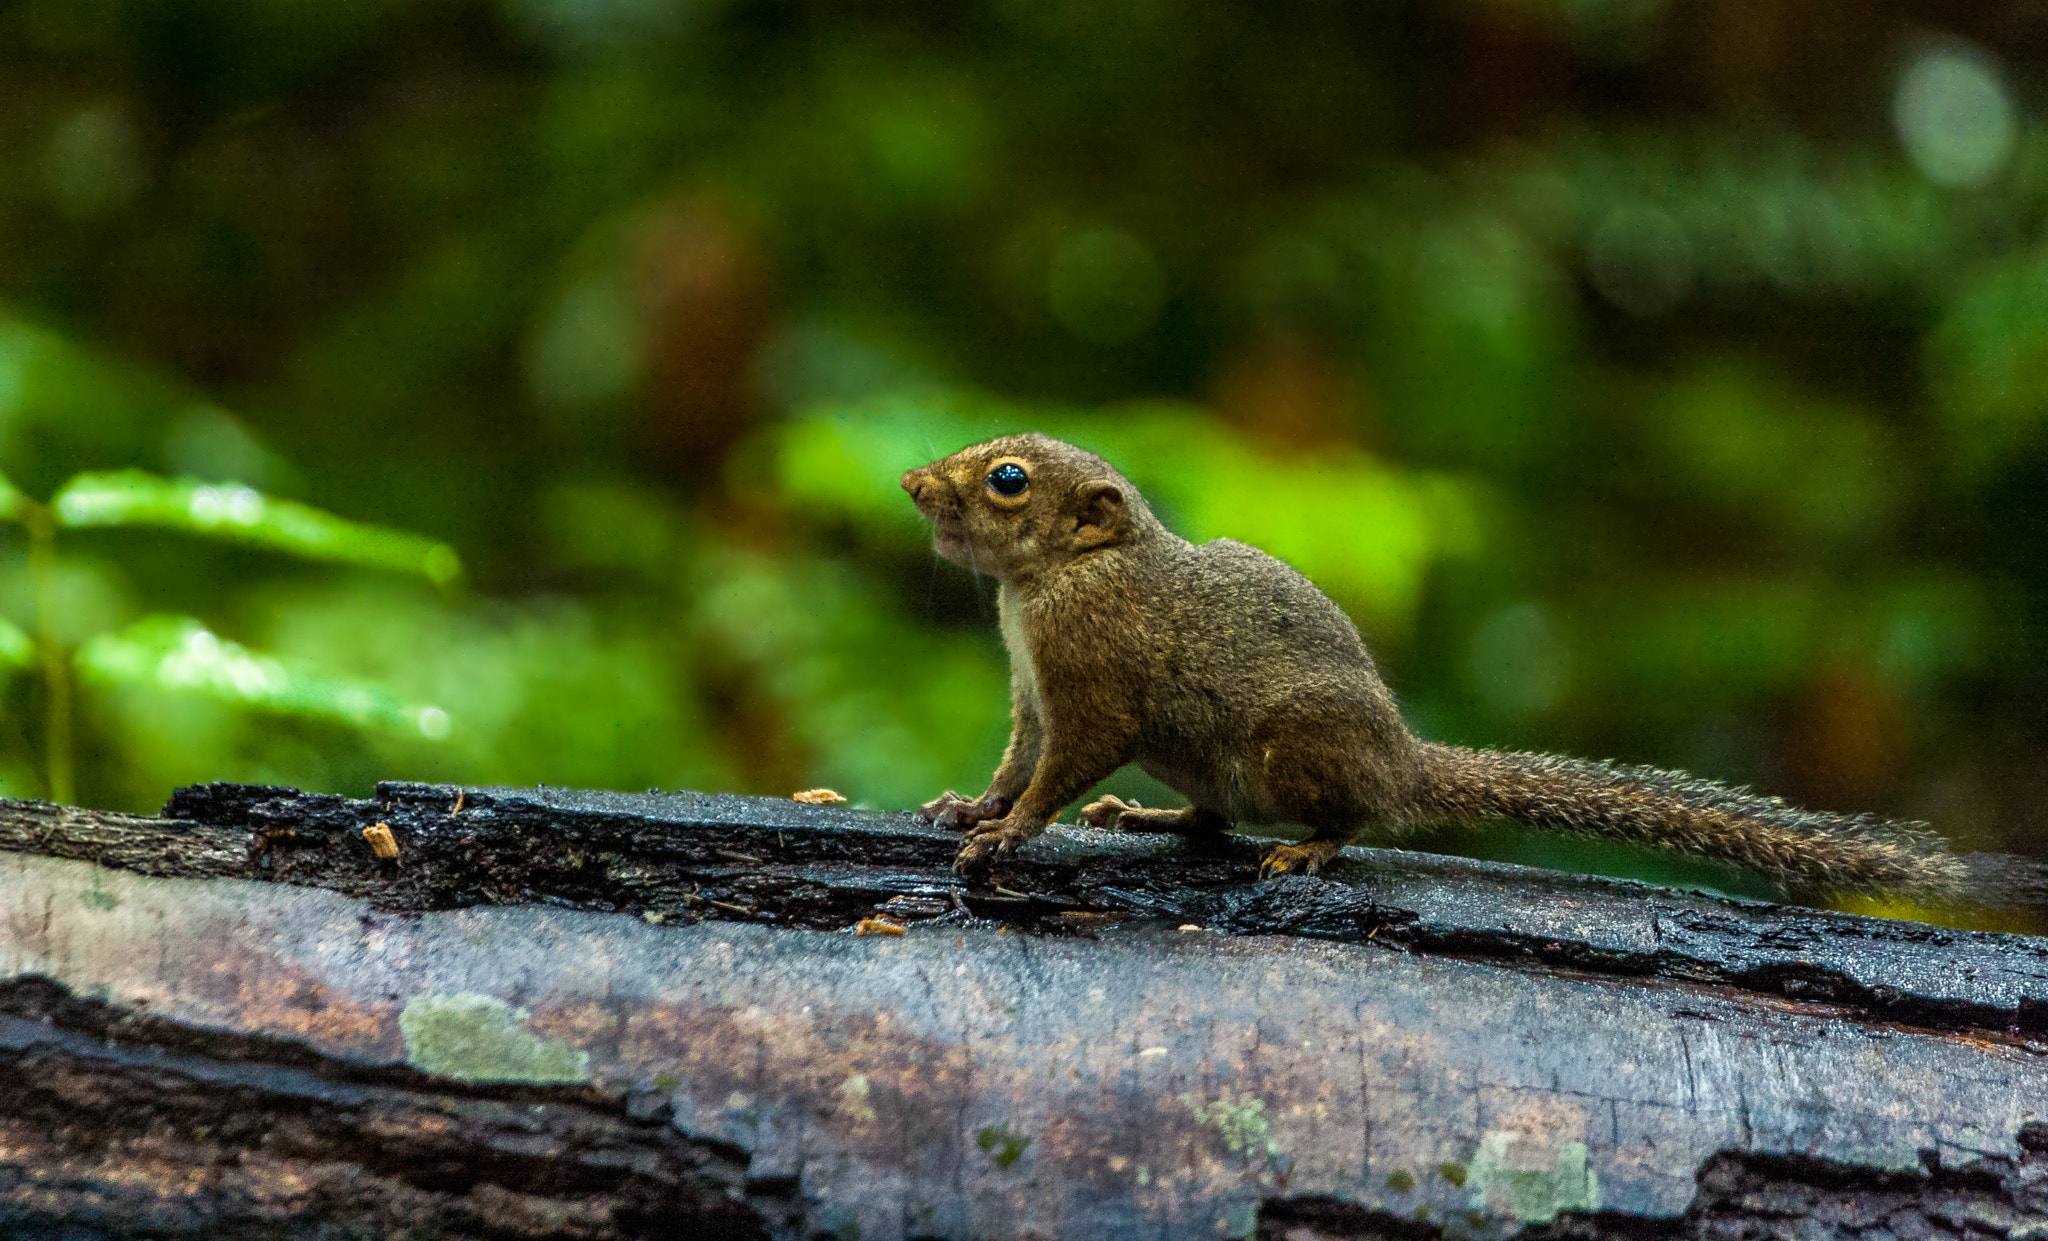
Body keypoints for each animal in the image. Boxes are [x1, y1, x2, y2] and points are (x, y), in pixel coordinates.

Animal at [901, 432, 2003, 902]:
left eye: (1007, 479)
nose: (912, 483)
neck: (1046, 581)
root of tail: (1404, 755)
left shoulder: (1093, 680)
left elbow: (1061, 764)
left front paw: (1005, 832)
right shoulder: (1032, 690)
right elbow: (1021, 755)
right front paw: (970, 805)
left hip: (1290, 751)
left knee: (1352, 815)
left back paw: (1309, 847)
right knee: (1211, 819)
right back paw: (1151, 815)